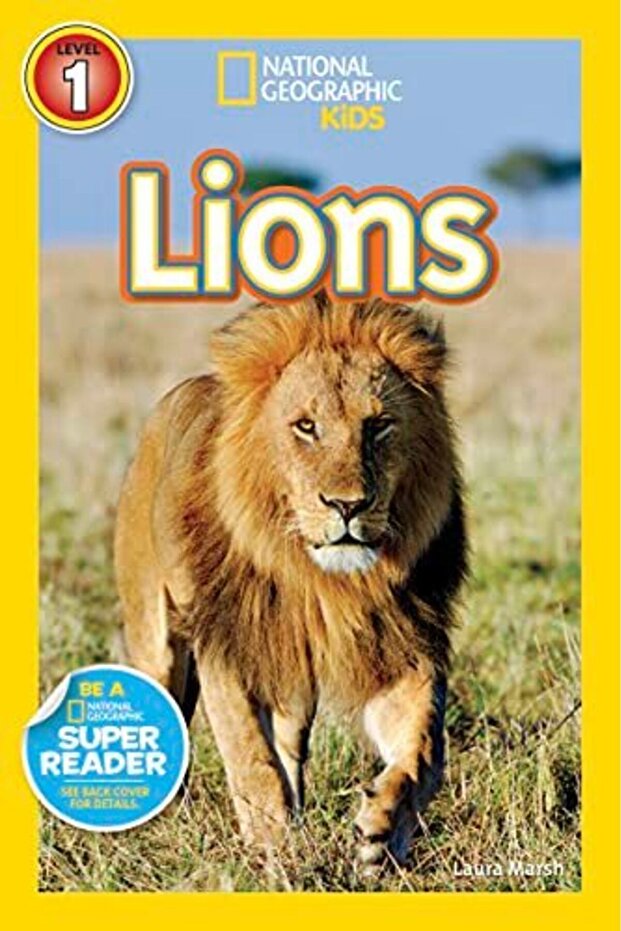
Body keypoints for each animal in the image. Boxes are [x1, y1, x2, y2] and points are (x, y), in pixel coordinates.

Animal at [114, 293, 467, 868]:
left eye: (379, 425)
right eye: (305, 427)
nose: (347, 505)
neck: (319, 581)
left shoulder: (398, 648)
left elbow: (424, 750)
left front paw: (384, 829)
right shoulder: (230, 647)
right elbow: (250, 756)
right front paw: (273, 849)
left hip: (294, 683)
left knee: (290, 745)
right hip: (155, 638)